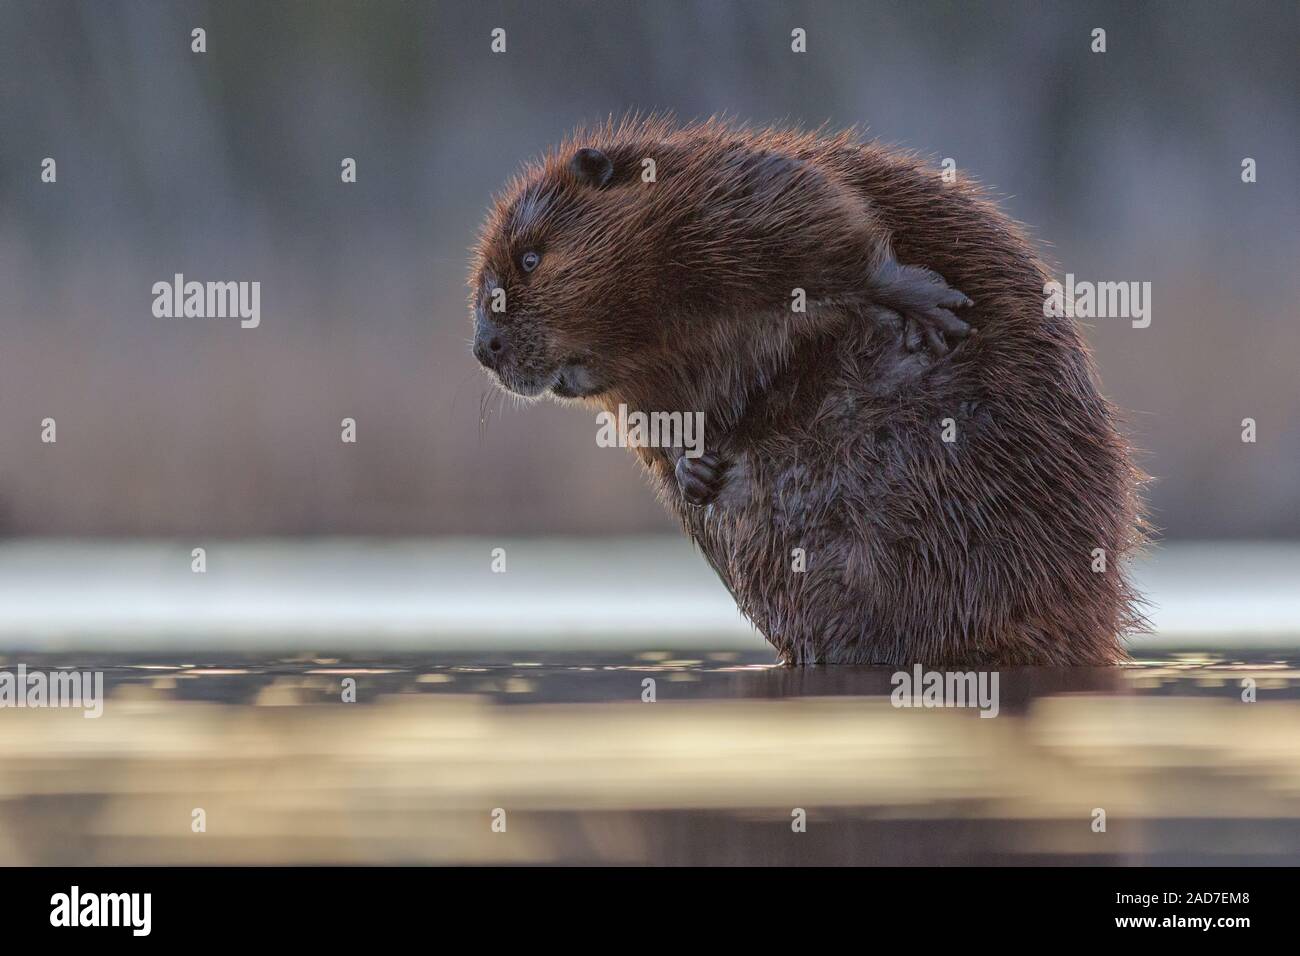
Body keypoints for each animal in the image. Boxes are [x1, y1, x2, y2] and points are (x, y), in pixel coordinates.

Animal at [470, 117, 1149, 665]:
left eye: (530, 259)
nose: (484, 347)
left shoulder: (728, 198)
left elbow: (827, 219)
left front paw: (928, 306)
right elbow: (660, 422)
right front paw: (695, 469)